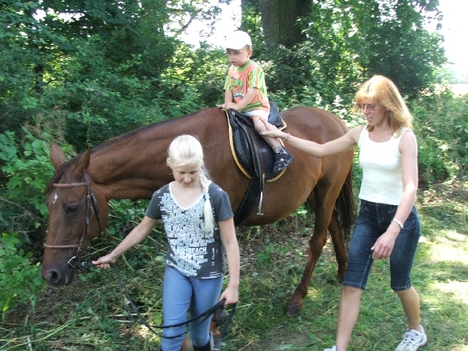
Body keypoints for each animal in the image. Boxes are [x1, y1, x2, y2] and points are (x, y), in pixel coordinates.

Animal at [41, 106, 354, 318]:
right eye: (49, 204)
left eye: (72, 207)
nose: (50, 274)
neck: (192, 151)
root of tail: (337, 122)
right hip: (315, 194)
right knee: (334, 226)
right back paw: (343, 271)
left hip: (327, 191)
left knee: (317, 241)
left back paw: (297, 298)